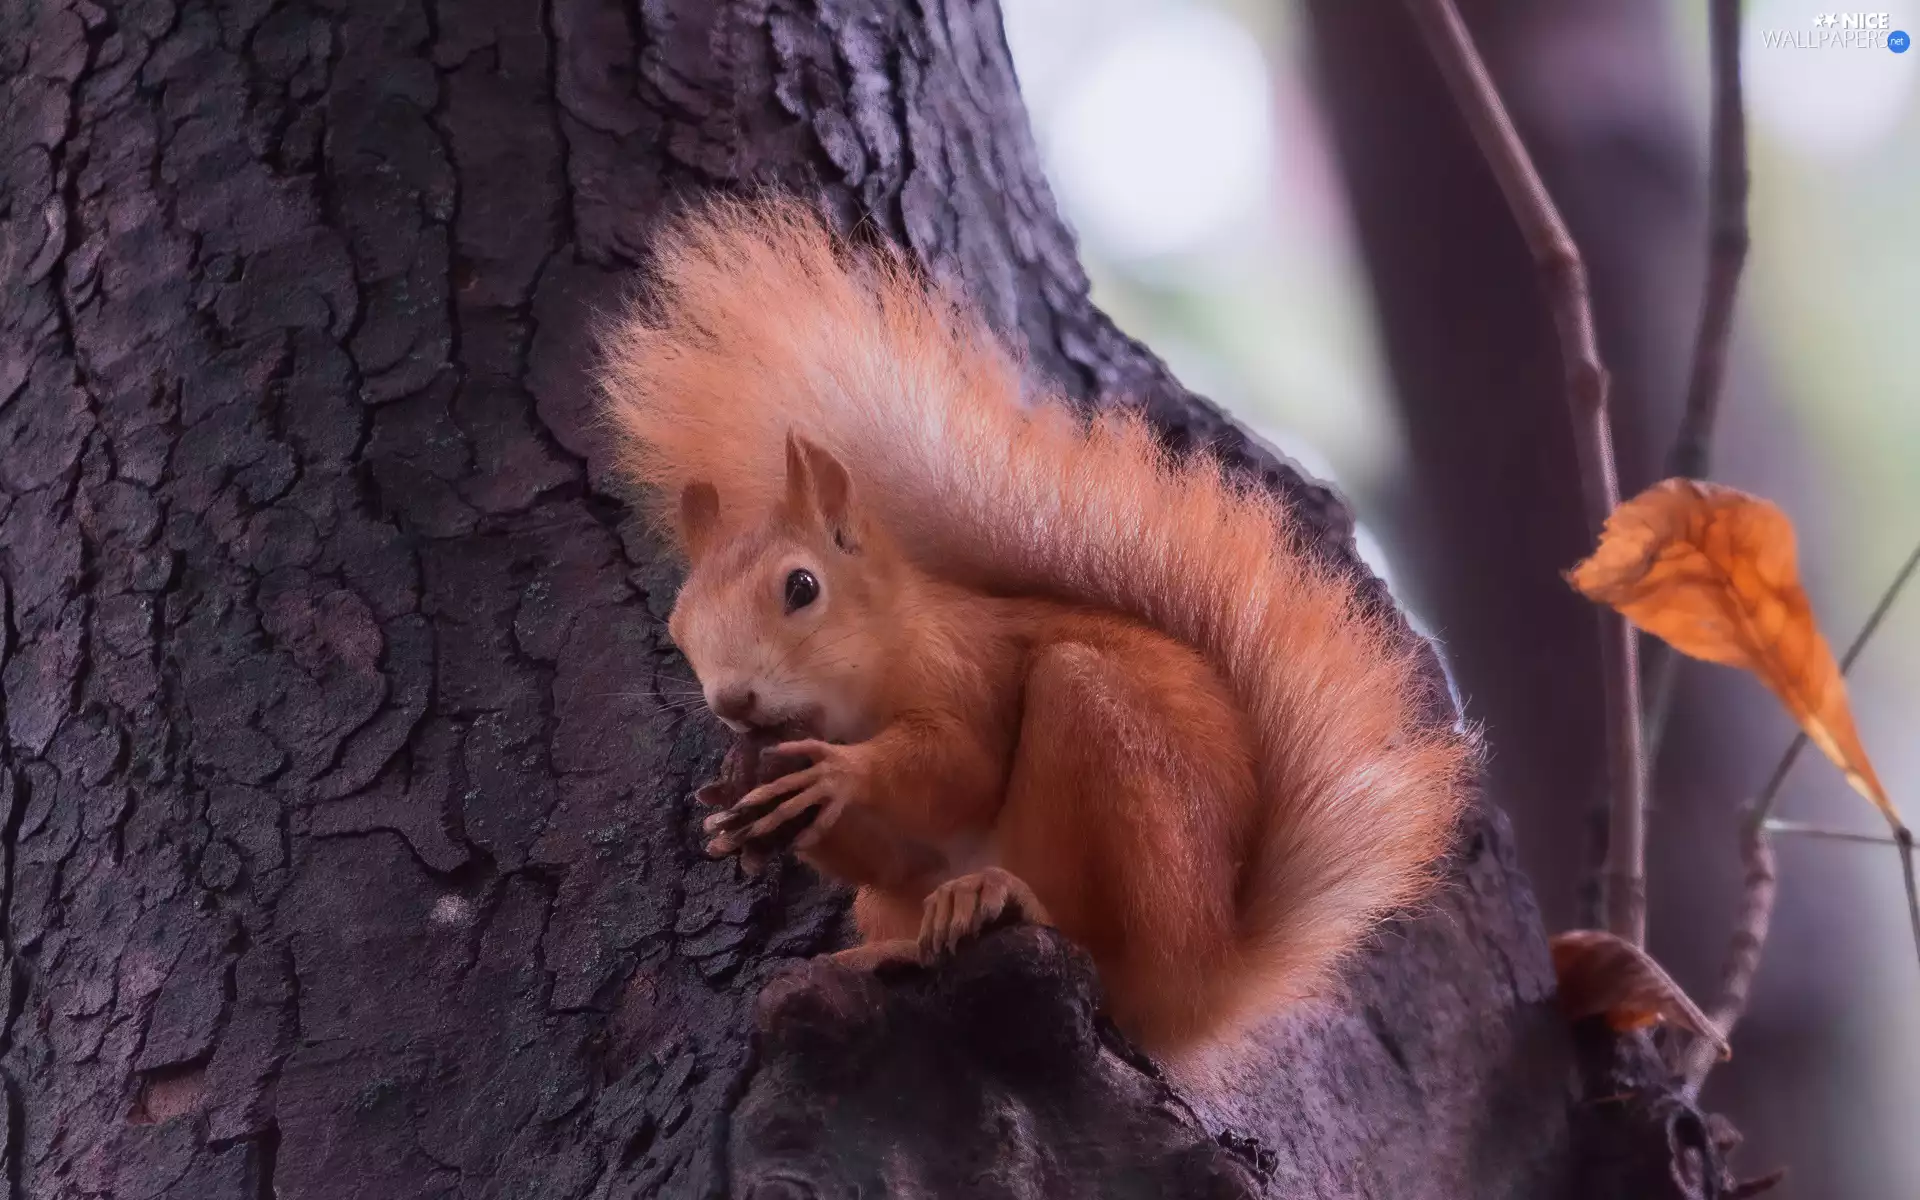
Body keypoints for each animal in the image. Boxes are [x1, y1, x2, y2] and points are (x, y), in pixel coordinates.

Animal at [598, 195, 1477, 1063]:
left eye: (801, 588)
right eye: (680, 627)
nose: (733, 702)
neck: (871, 672)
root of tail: (1199, 987)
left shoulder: (967, 667)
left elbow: (961, 768)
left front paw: (838, 774)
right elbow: (889, 852)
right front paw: (737, 813)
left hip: (1118, 788)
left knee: (1096, 938)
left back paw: (1005, 897)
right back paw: (890, 946)